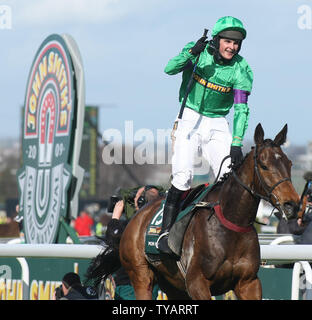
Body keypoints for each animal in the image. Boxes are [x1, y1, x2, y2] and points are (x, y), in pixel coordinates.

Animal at [84, 123, 300, 300]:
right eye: (264, 165)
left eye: (289, 163)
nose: (292, 204)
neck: (231, 222)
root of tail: (136, 217)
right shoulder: (197, 283)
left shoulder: (249, 283)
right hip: (141, 276)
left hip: (172, 285)